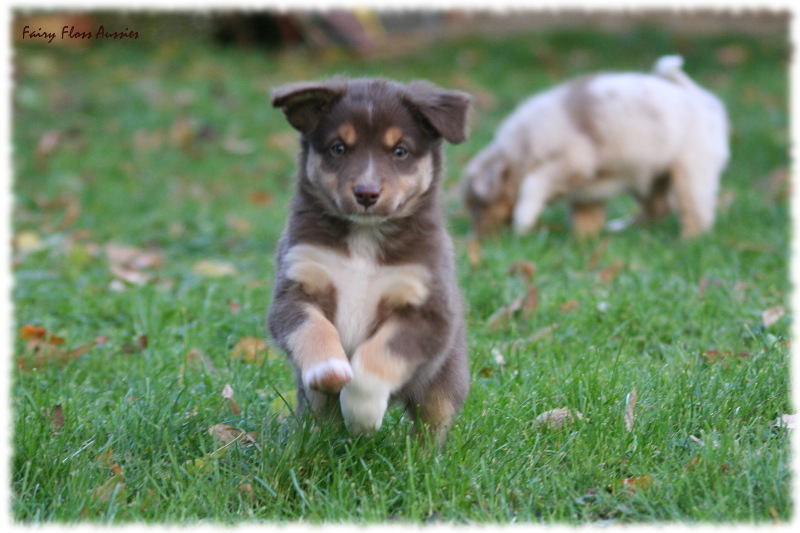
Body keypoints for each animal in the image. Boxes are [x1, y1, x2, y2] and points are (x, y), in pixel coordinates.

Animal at [268, 77, 472, 442]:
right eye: (338, 148)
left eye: (400, 151)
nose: (366, 193)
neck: (364, 239)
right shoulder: (295, 288)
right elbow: (313, 327)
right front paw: (329, 368)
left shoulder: (428, 311)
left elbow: (378, 353)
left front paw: (362, 413)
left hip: (444, 379)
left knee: (433, 421)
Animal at [462, 55, 732, 237]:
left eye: (477, 208)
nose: (476, 237)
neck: (521, 152)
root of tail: (702, 98)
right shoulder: (585, 192)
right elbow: (586, 218)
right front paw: (582, 242)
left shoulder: (570, 161)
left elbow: (533, 184)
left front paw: (524, 220)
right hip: (649, 177)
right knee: (659, 208)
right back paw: (624, 227)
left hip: (691, 172)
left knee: (696, 212)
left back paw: (688, 240)